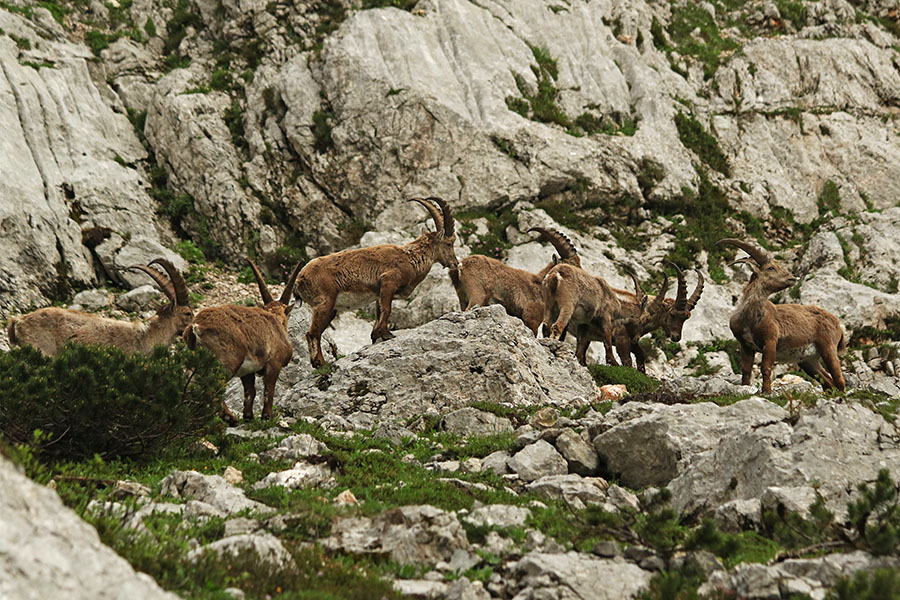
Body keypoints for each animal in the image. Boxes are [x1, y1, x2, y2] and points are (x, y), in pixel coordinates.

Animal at [183, 259, 302, 422]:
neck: (276, 321)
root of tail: (196, 326)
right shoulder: (274, 363)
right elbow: (269, 391)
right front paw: (268, 417)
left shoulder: (248, 371)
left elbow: (250, 392)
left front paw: (248, 416)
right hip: (227, 361)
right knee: (212, 388)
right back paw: (229, 417)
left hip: (195, 362)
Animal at [295, 197, 458, 367]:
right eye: (449, 243)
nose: (455, 263)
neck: (410, 258)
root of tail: (300, 279)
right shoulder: (388, 281)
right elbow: (387, 309)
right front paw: (387, 334)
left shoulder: (379, 293)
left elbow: (379, 312)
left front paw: (376, 336)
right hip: (325, 302)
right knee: (312, 333)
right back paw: (321, 363)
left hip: (331, 308)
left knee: (316, 332)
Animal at [449, 227, 580, 335]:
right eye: (569, 266)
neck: (540, 286)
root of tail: (461, 265)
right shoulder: (531, 318)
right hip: (477, 295)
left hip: (462, 297)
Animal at [716, 238, 846, 393]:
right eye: (771, 268)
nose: (792, 277)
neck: (751, 318)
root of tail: (838, 325)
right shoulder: (746, 345)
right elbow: (746, 370)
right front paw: (745, 388)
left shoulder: (770, 340)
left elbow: (766, 368)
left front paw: (766, 391)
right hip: (808, 360)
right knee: (827, 380)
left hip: (828, 346)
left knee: (839, 379)